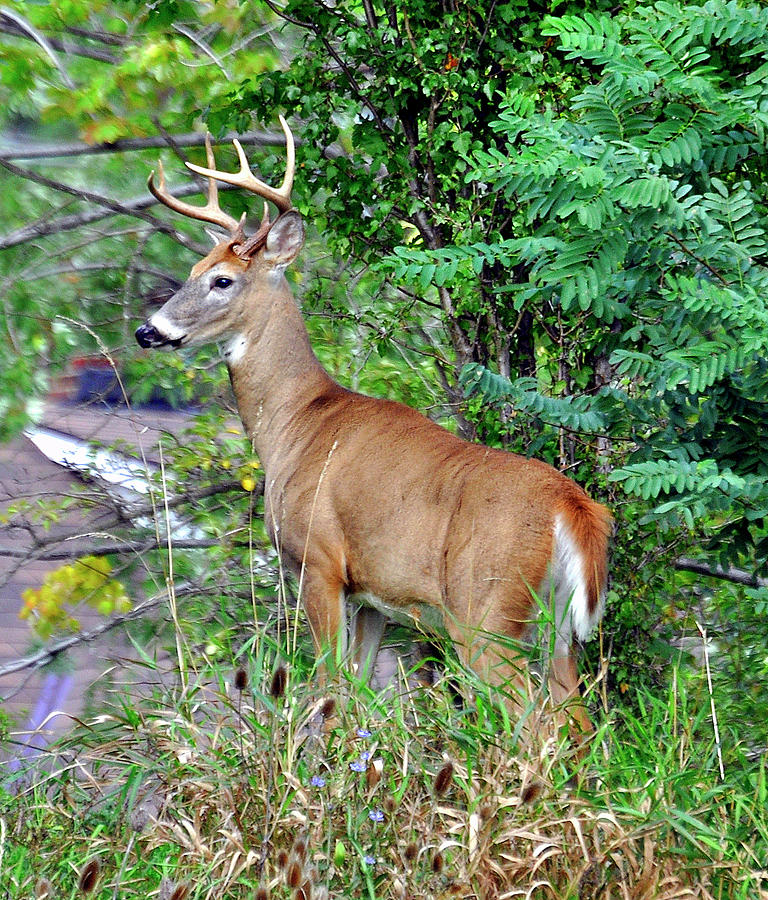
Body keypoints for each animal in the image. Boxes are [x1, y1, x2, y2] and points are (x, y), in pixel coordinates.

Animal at [134, 114, 612, 760]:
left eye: (222, 280)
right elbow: (354, 694)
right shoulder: (371, 595)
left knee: (536, 724)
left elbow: (327, 688)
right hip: (557, 628)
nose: (148, 331)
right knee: (579, 726)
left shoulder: (318, 559)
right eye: (190, 272)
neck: (297, 424)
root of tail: (573, 504)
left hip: (484, 610)